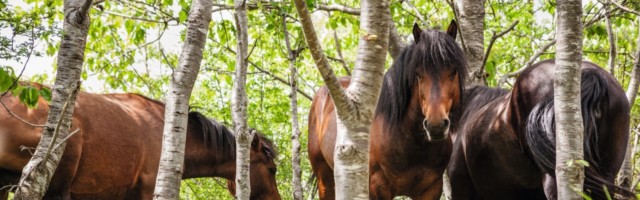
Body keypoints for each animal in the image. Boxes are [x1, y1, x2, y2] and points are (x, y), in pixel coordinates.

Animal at [308, 21, 468, 199]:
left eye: (454, 71)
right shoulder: (378, 187)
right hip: (324, 177)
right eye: (418, 74)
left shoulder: (431, 190)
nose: (436, 125)